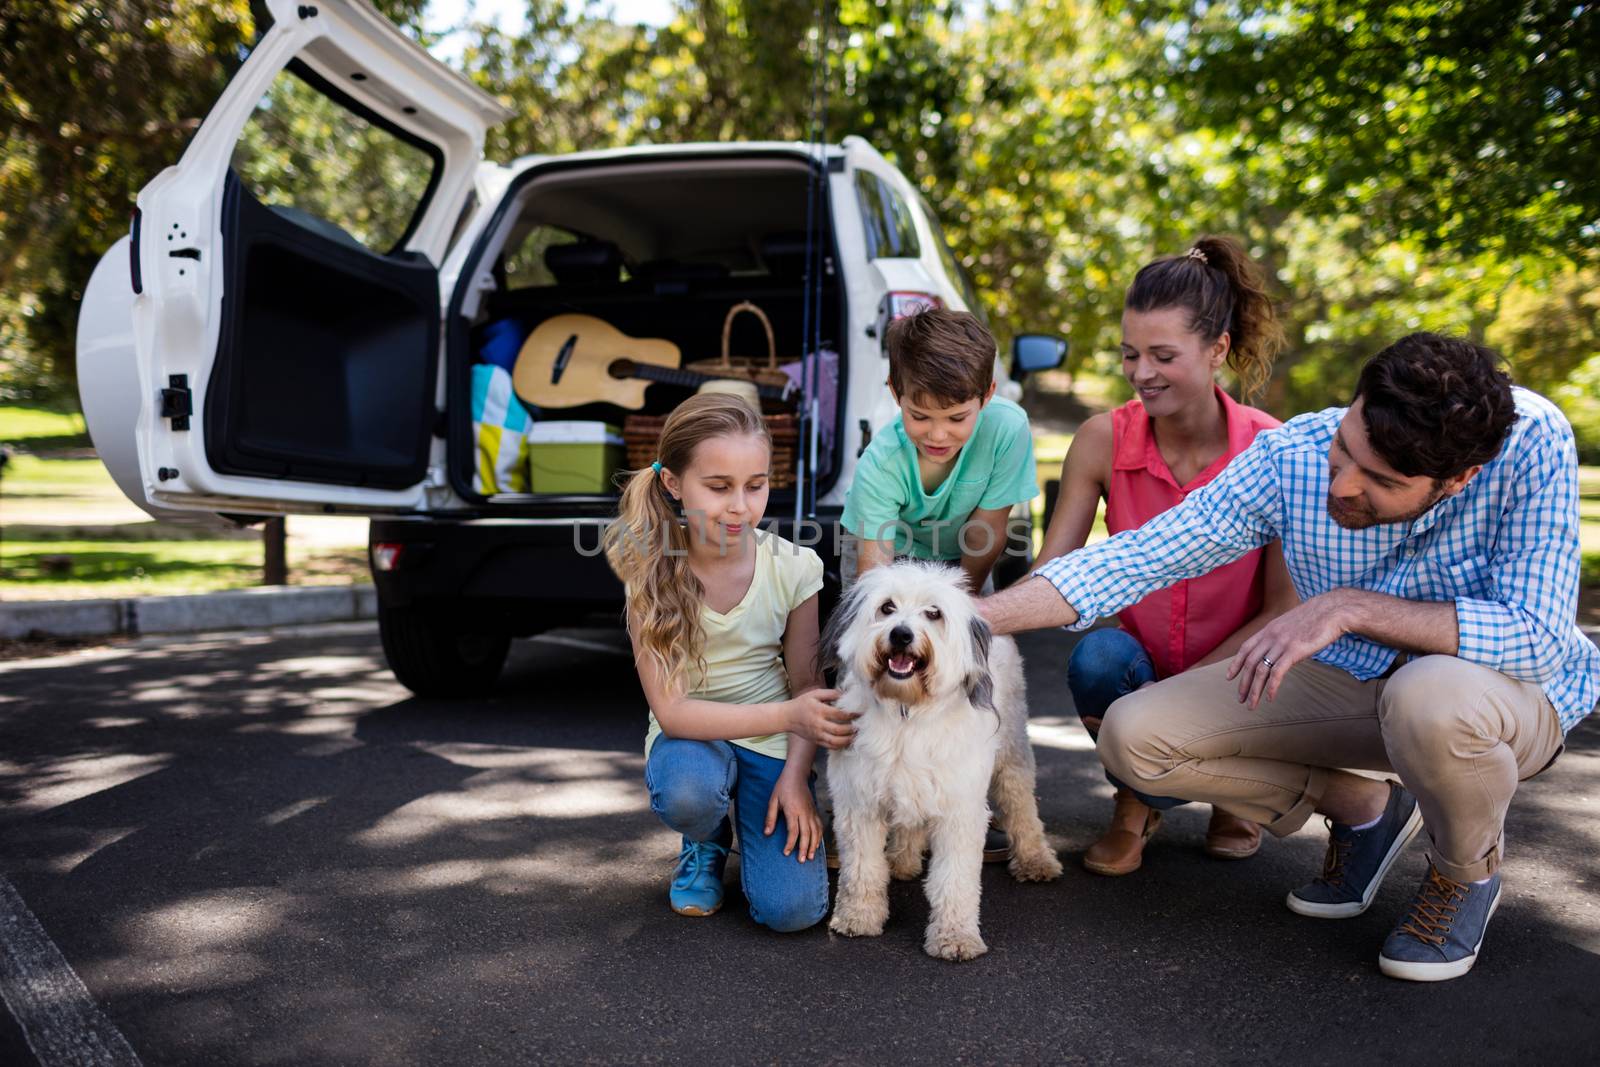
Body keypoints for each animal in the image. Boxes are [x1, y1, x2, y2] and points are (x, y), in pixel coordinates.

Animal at [825, 559, 1062, 959]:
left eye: (933, 613)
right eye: (887, 607)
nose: (901, 635)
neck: (908, 711)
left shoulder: (960, 811)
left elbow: (954, 881)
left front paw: (955, 936)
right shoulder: (859, 803)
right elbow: (861, 870)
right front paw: (858, 917)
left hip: (1011, 751)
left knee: (1020, 803)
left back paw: (1035, 859)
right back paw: (902, 860)